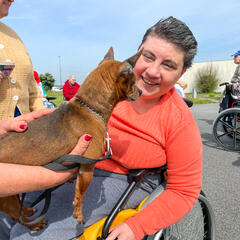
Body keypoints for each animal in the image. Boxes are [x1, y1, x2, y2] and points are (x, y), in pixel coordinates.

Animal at [0, 47, 142, 231]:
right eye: (133, 82)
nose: (141, 91)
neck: (90, 108)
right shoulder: (87, 168)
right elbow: (81, 194)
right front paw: (79, 214)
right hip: (7, 200)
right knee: (18, 218)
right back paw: (35, 225)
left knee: (21, 210)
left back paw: (29, 210)